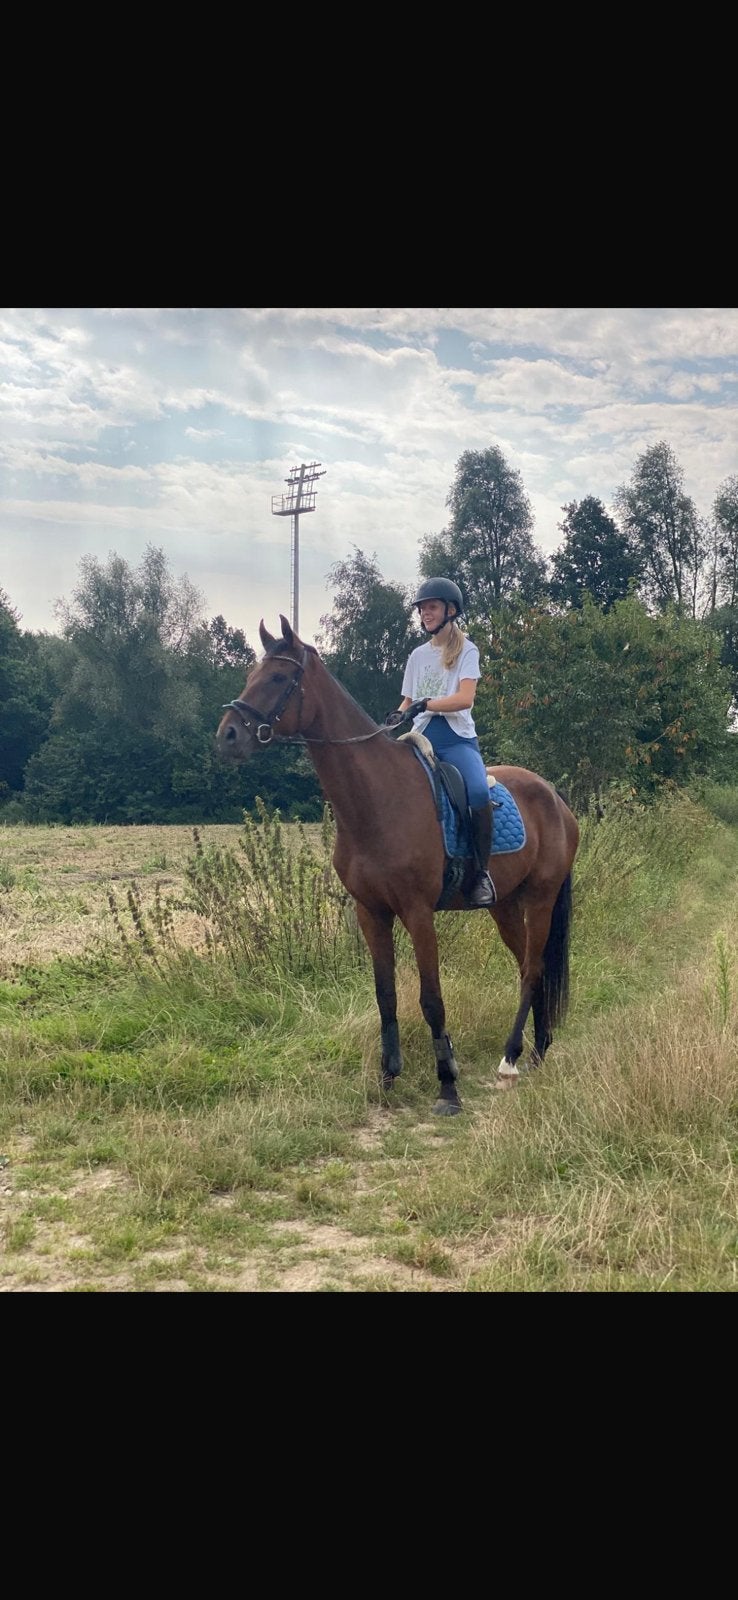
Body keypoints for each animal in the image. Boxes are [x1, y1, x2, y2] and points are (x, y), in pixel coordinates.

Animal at [216, 615, 579, 1117]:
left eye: (278, 677)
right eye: (252, 674)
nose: (227, 735)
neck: (377, 800)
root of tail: (555, 798)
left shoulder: (417, 913)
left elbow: (431, 999)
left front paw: (448, 1086)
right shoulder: (371, 912)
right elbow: (385, 995)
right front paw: (388, 1077)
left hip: (541, 898)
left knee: (529, 970)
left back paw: (509, 1059)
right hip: (505, 905)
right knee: (535, 964)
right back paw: (539, 1049)